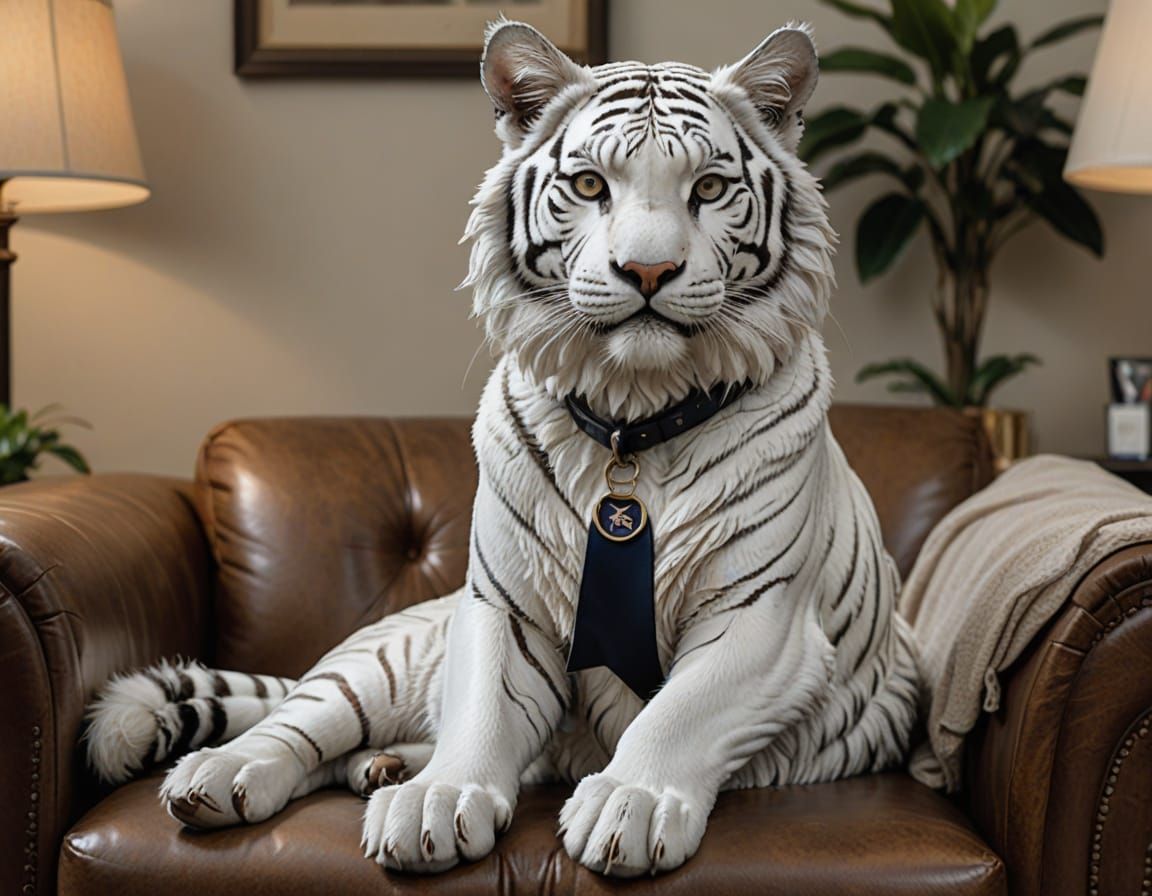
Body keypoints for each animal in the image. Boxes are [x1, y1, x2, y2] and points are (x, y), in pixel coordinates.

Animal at [85, 20, 921, 878]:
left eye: (711, 189)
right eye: (589, 185)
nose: (649, 269)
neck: (633, 415)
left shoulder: (762, 618)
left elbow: (677, 714)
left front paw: (631, 803)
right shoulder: (501, 605)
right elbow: (484, 710)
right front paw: (440, 801)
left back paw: (384, 766)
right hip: (381, 662)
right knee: (297, 721)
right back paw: (228, 774)